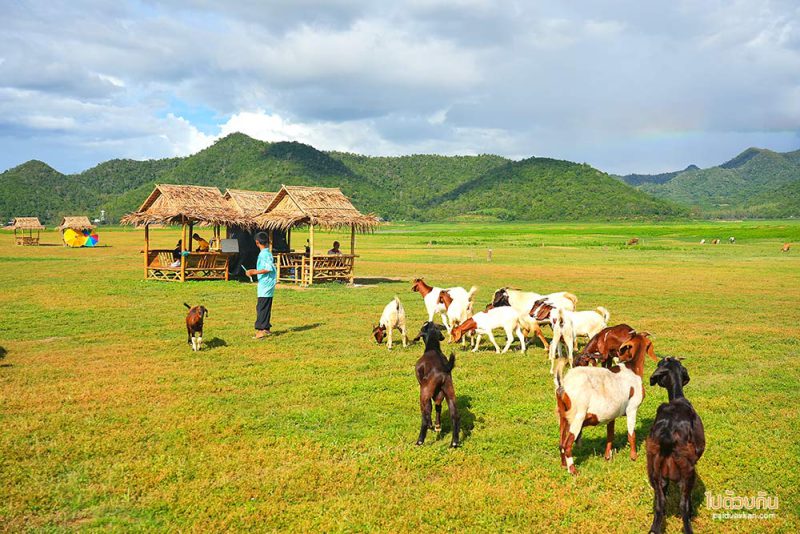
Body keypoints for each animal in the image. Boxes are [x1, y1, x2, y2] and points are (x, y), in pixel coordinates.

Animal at [416, 320, 460, 450]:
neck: (433, 348)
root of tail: (442, 369)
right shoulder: (438, 395)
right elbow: (437, 408)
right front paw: (437, 426)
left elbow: (429, 410)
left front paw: (433, 425)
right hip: (450, 392)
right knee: (454, 415)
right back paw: (454, 442)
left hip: (424, 394)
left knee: (425, 417)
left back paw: (420, 441)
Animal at [552, 336, 652, 478]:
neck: (632, 368)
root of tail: (563, 385)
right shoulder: (632, 408)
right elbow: (631, 434)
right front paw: (633, 457)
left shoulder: (612, 415)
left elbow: (610, 435)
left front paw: (607, 457)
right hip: (577, 417)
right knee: (567, 445)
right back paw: (573, 471)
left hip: (563, 417)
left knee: (561, 443)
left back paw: (563, 465)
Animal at [644, 360, 708, 534]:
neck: (677, 398)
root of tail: (667, 435)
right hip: (688, 474)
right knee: (683, 506)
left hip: (655, 472)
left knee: (660, 505)